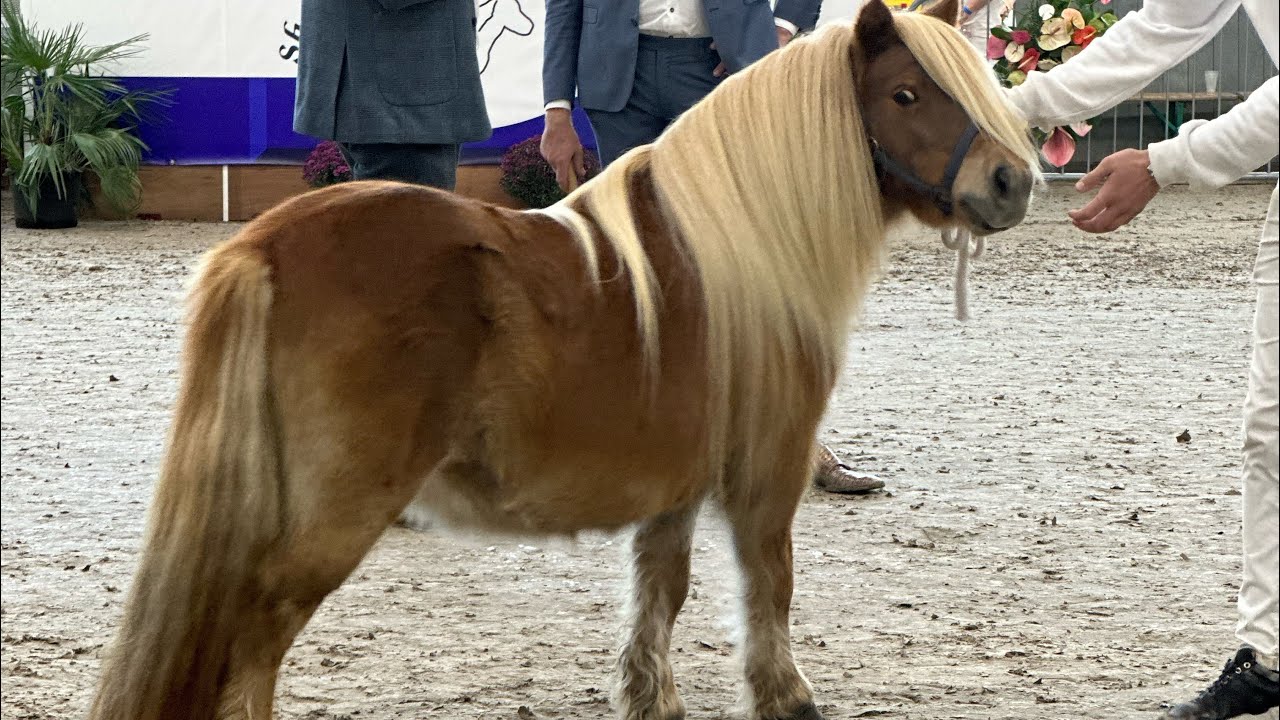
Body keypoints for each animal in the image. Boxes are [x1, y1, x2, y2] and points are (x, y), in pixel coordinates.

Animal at [87, 1, 1038, 718]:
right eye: (906, 94)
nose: (1012, 182)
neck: (739, 244)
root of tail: (264, 247)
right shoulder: (767, 472)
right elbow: (769, 585)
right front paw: (788, 698)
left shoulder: (677, 483)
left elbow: (662, 590)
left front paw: (652, 698)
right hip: (326, 521)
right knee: (253, 642)